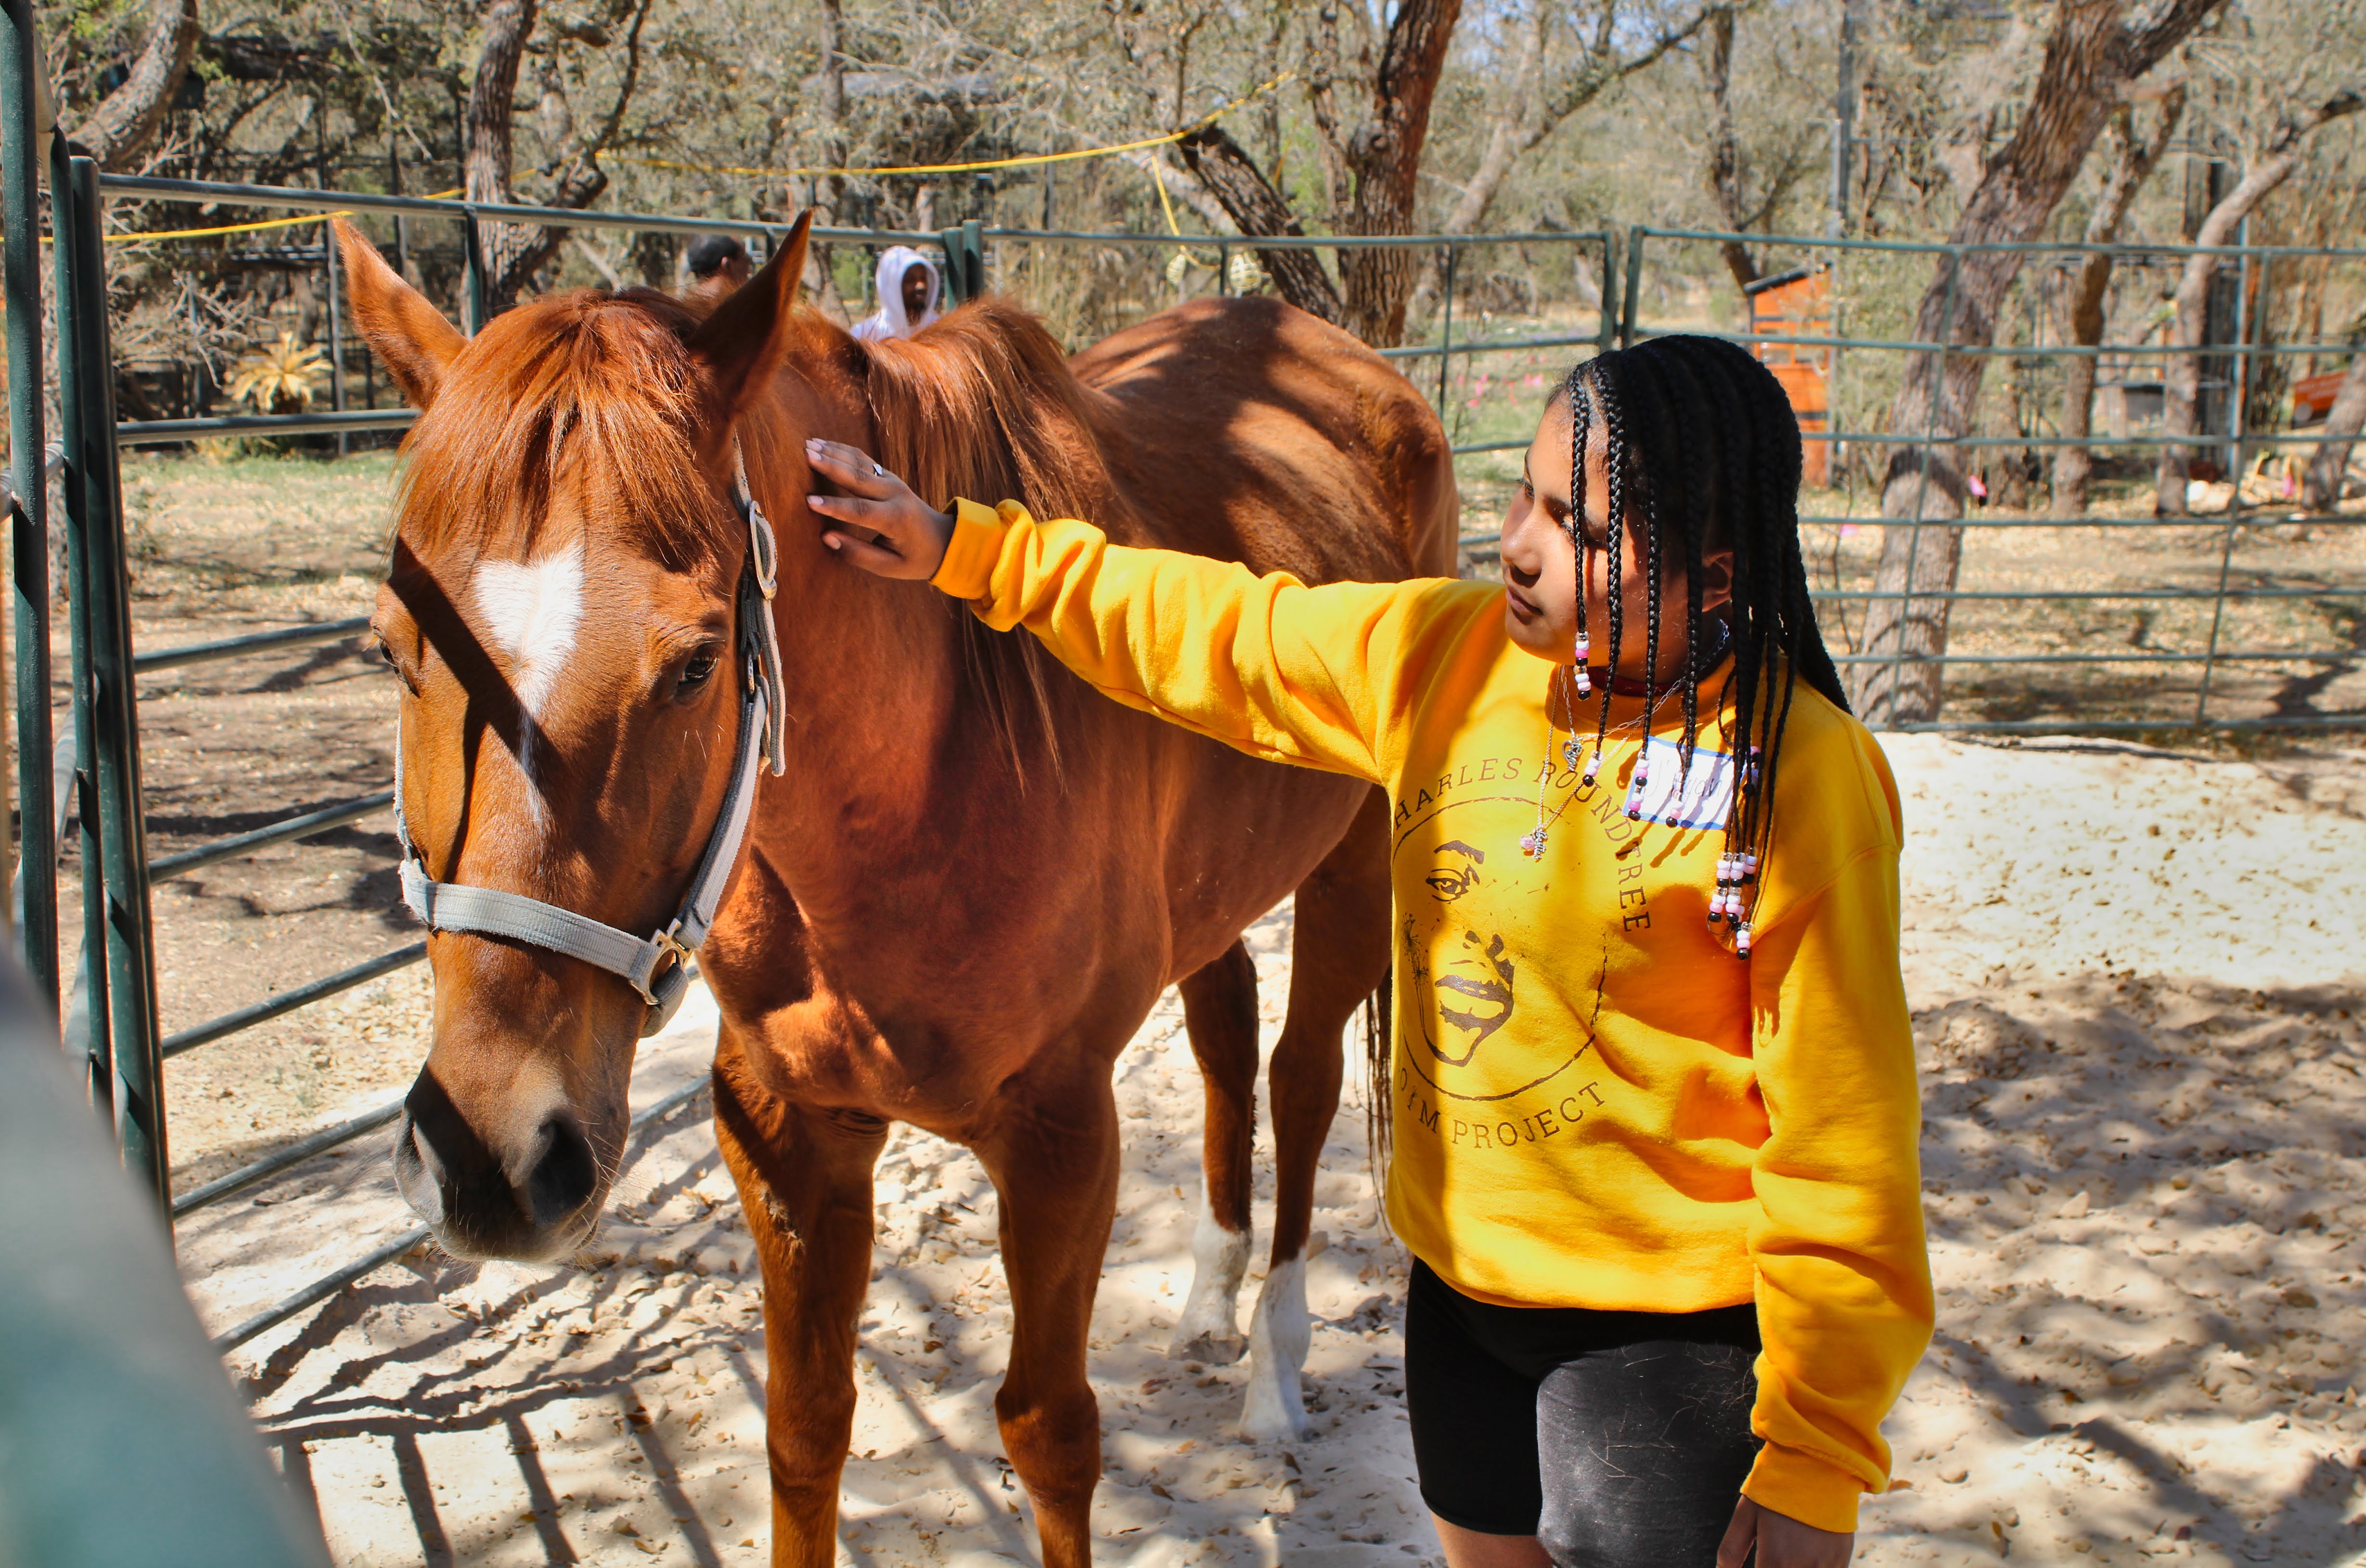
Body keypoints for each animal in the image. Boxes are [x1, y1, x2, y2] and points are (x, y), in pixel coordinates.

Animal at [340, 211, 1448, 1568]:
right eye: (394, 649)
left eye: (695, 664)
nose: (490, 1159)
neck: (916, 788)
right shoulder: (783, 1127)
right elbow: (804, 1425)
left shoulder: (1060, 1141)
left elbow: (1048, 1434)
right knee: (1226, 1040)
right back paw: (1205, 1295)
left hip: (1348, 874)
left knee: (1298, 1080)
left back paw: (1272, 1372)